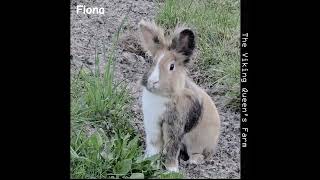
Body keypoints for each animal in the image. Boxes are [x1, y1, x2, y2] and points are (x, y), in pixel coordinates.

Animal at [138, 19, 220, 172]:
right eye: (153, 62)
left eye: (172, 67)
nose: (153, 82)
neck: (162, 96)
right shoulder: (152, 123)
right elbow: (154, 144)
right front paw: (148, 161)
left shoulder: (175, 125)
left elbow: (172, 147)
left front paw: (171, 170)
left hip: (198, 142)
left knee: (198, 155)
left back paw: (191, 162)